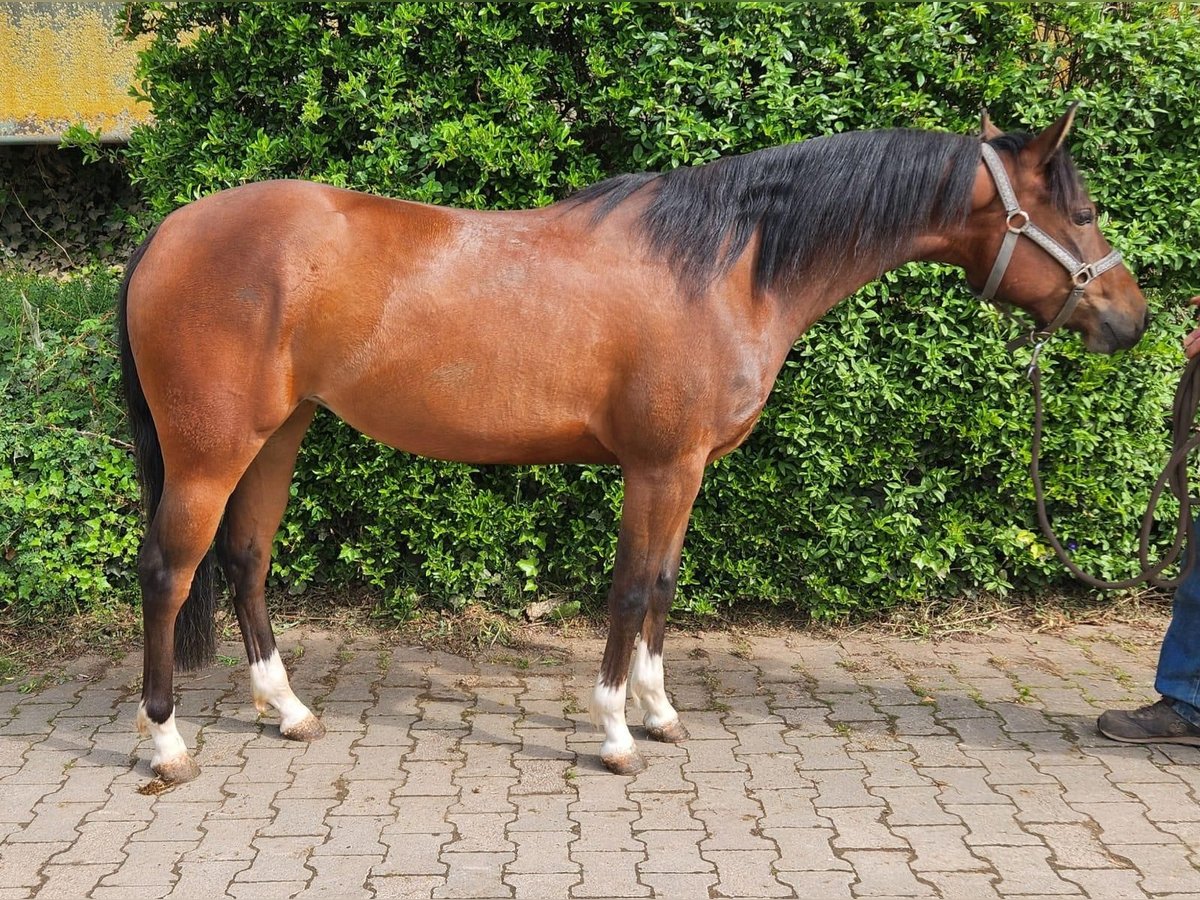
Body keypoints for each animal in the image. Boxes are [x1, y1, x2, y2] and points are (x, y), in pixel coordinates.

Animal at [118, 106, 1146, 782]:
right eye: (1084, 212)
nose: (1131, 320)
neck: (727, 268)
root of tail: (170, 228)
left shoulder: (683, 472)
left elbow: (662, 585)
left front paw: (659, 713)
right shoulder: (658, 467)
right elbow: (627, 591)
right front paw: (615, 731)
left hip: (278, 434)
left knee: (245, 559)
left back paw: (287, 711)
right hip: (212, 451)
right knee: (169, 570)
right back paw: (166, 744)